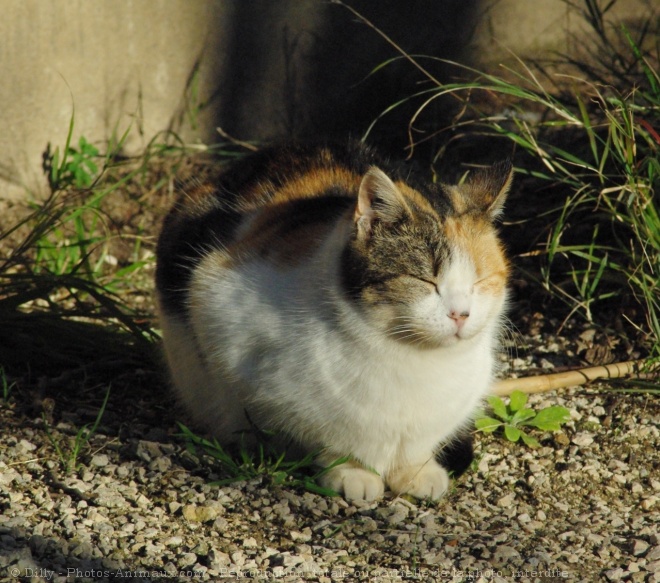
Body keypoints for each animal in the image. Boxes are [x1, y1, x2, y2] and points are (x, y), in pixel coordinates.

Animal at [155, 141, 510, 502]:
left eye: (480, 282)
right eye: (423, 280)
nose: (460, 314)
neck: (414, 362)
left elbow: (415, 447)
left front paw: (417, 472)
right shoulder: (214, 300)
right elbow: (330, 438)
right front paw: (351, 473)